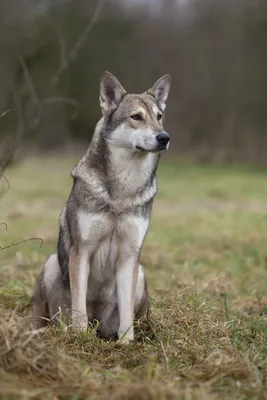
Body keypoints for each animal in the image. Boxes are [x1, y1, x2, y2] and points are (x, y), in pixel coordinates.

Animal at [32, 70, 172, 342]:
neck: (122, 188)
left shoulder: (130, 255)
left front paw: (127, 343)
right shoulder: (81, 250)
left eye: (159, 117)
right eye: (136, 117)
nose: (164, 137)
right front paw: (79, 337)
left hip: (140, 274)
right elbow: (79, 306)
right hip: (52, 264)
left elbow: (126, 312)